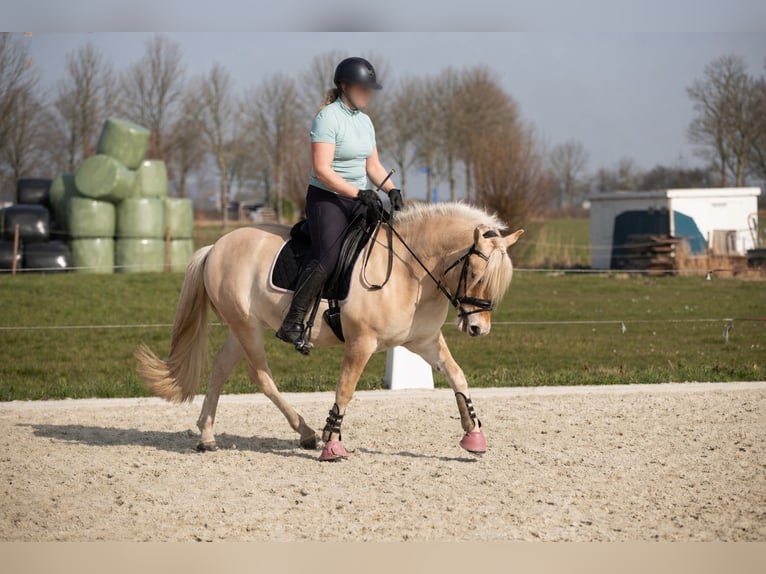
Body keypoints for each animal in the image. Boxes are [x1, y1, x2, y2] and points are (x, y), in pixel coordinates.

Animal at [135, 202, 524, 461]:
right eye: (475, 273)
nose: (478, 328)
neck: (409, 271)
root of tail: (215, 246)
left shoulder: (425, 342)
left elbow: (458, 376)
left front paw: (473, 435)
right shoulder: (361, 343)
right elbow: (345, 390)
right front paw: (332, 441)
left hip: (242, 325)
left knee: (219, 369)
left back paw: (207, 437)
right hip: (246, 326)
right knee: (260, 375)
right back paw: (306, 432)